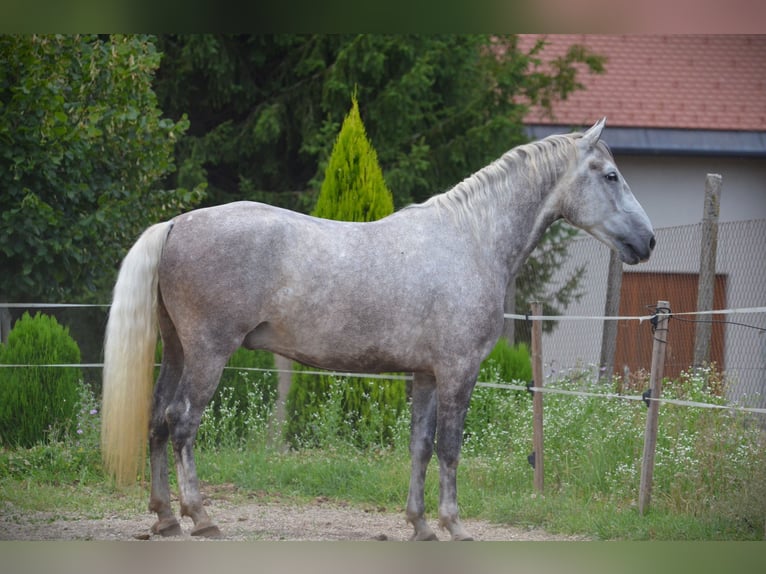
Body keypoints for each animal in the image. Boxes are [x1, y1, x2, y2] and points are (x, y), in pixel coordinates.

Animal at [100, 119, 656, 544]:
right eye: (610, 175)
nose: (647, 240)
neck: (472, 238)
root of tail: (176, 224)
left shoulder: (426, 375)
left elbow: (421, 445)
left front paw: (420, 525)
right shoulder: (458, 372)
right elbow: (450, 447)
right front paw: (455, 526)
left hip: (176, 350)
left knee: (156, 419)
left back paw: (165, 517)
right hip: (208, 353)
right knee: (181, 422)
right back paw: (201, 517)